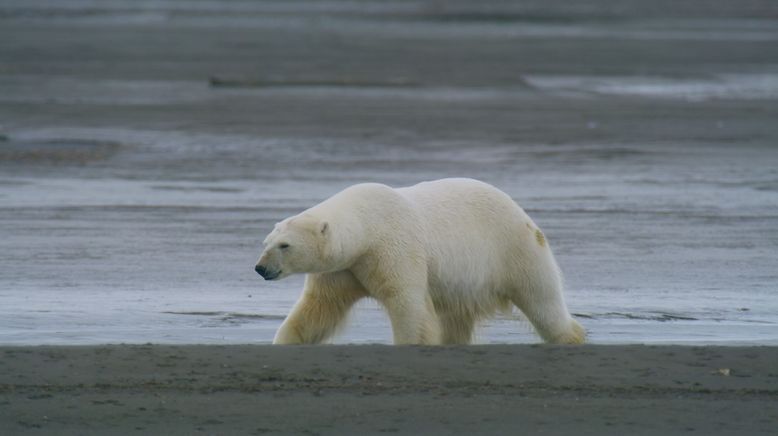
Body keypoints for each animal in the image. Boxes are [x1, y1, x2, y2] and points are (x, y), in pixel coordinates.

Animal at [255, 179, 584, 346]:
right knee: (456, 317)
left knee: (542, 300)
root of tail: (521, 211)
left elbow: (406, 301)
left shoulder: (393, 247)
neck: (367, 225)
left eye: (285, 245)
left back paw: (569, 337)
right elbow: (319, 307)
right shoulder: (344, 267)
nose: (261, 268)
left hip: (513, 249)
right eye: (266, 243)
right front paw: (285, 339)